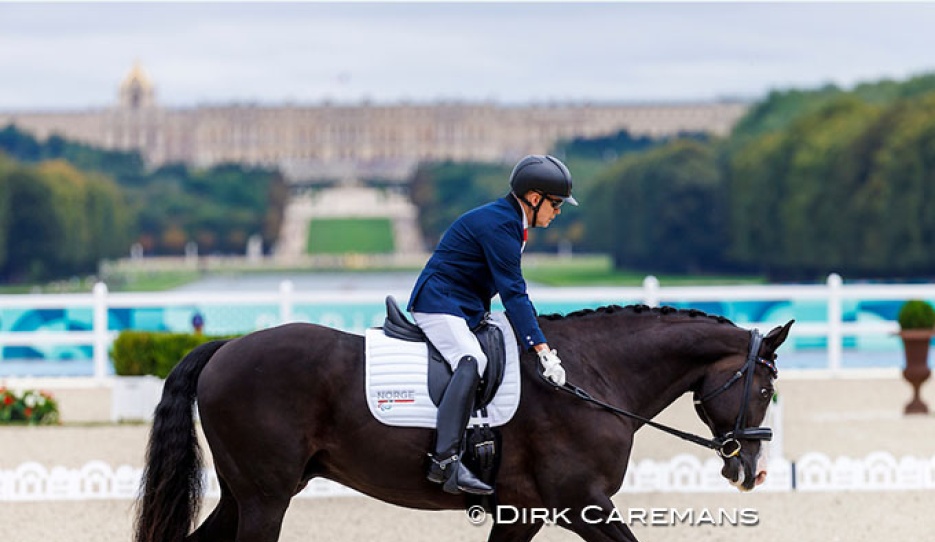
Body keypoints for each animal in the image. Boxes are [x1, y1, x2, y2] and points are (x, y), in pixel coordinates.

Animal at [133, 306, 788, 542]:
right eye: (763, 389)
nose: (751, 472)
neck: (591, 378)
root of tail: (226, 348)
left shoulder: (531, 512)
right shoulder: (578, 503)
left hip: (248, 495)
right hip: (265, 499)